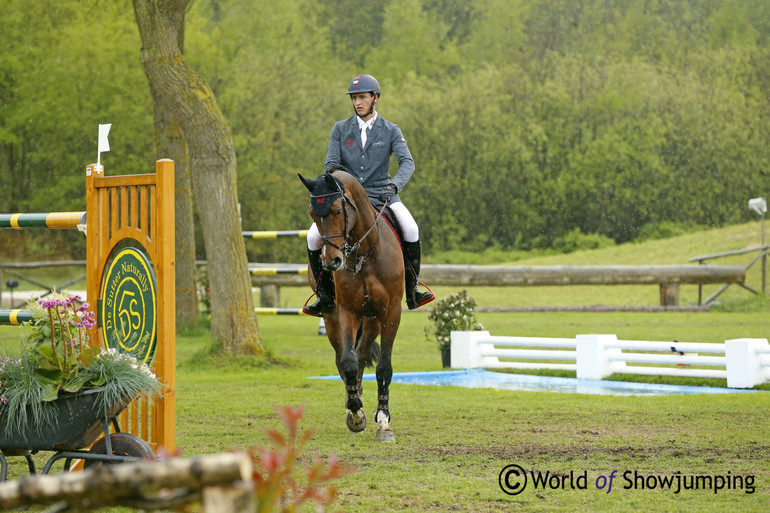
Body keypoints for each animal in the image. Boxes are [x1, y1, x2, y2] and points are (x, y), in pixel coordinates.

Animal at [298, 168, 402, 440]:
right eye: (312, 213)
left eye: (337, 211)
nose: (331, 262)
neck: (364, 252)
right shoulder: (346, 311)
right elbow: (347, 362)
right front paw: (355, 413)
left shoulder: (390, 313)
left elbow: (383, 367)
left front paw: (383, 419)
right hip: (332, 317)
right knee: (343, 358)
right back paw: (352, 399)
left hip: (372, 319)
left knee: (364, 353)